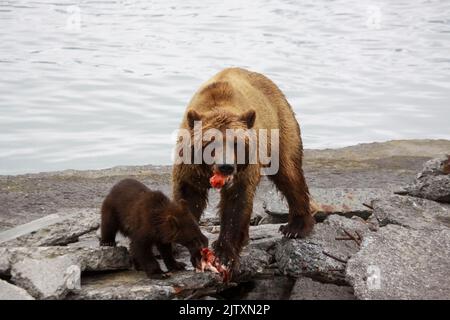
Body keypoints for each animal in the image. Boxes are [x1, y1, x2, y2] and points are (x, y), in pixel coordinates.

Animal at [171, 67, 314, 270]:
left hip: (280, 128)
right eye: (211, 143)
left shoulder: (243, 171)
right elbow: (188, 196)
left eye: (236, 143)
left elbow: (236, 203)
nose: (226, 167)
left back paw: (295, 227)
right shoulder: (189, 166)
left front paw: (224, 254)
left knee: (289, 174)